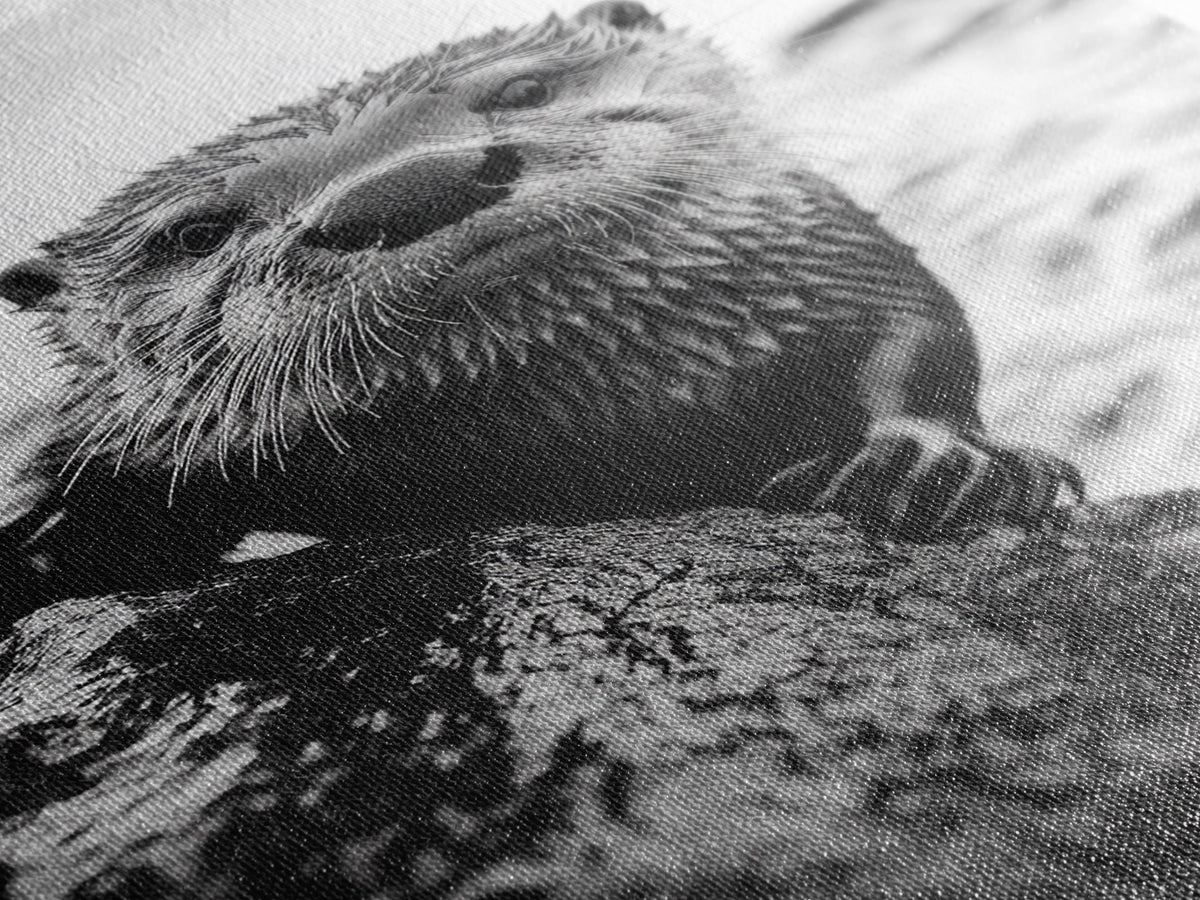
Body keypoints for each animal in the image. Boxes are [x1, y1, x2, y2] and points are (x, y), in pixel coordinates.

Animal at [0, 1, 1081, 602]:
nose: (408, 186)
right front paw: (47, 535)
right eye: (196, 234)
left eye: (522, 89)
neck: (604, 427)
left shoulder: (824, 246)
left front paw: (930, 463)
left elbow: (915, 332)